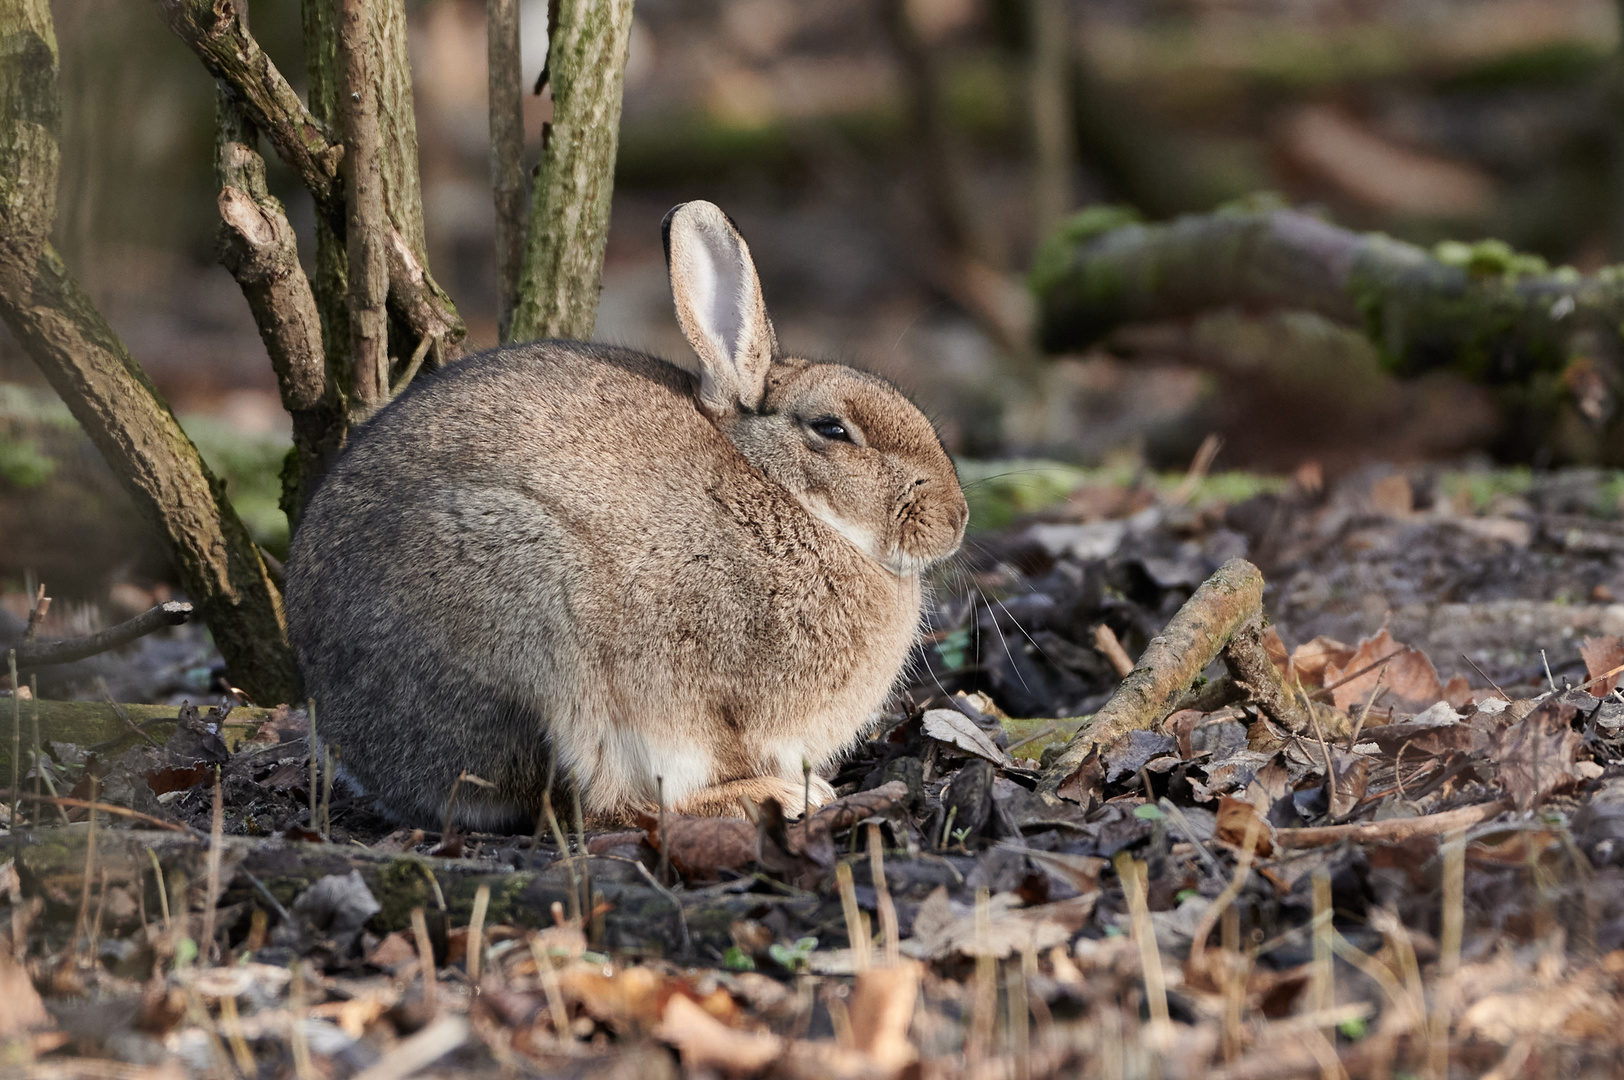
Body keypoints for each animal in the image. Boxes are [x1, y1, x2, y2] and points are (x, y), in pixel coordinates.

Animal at [282, 202, 961, 825]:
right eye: (832, 430)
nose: (954, 520)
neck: (784, 495)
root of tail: (346, 736)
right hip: (530, 610)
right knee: (591, 804)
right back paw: (776, 796)